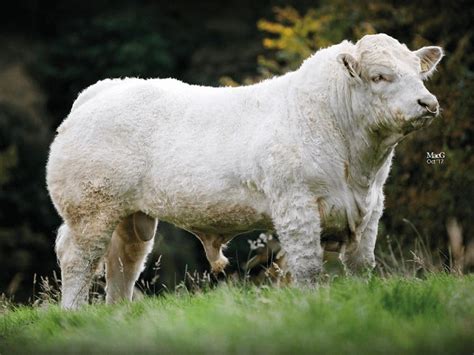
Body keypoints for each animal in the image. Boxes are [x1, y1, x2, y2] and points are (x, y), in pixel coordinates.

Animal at [46, 34, 442, 310]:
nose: (428, 103)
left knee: (124, 261)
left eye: (417, 73)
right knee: (78, 258)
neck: (357, 167)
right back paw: (72, 313)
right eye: (380, 76)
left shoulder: (371, 208)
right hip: (91, 210)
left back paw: (118, 314)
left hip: (130, 214)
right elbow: (308, 266)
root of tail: (105, 89)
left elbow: (361, 265)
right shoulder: (295, 204)